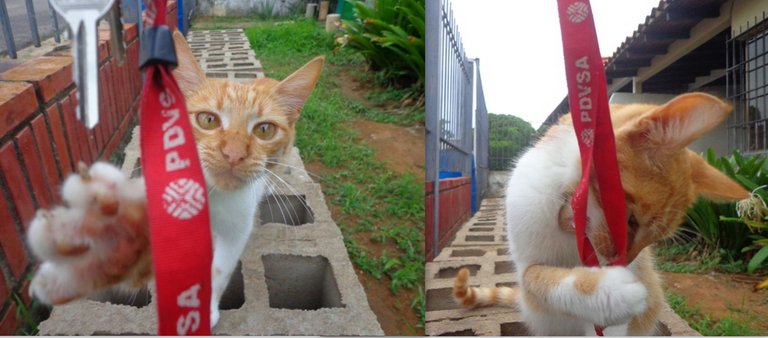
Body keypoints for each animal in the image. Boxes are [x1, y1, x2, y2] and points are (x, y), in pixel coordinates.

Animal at [456, 92, 752, 336]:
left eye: (653, 239)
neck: (567, 225)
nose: (621, 261)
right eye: (630, 219)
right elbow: (535, 276)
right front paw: (608, 290)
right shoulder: (525, 261)